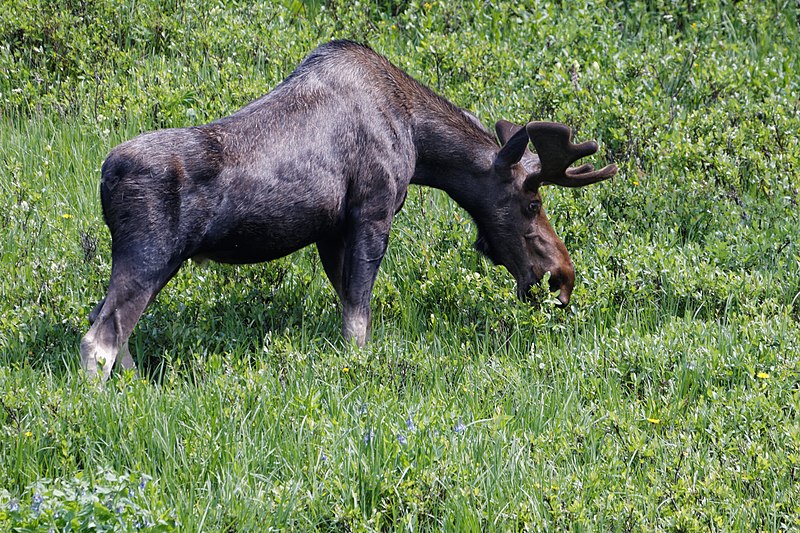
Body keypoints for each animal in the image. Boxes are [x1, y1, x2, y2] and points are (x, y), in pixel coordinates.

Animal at [81, 39, 616, 378]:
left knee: (116, 332)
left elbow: (346, 306)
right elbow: (359, 319)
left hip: (155, 262)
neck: (418, 140)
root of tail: (105, 176)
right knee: (99, 339)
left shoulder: (330, 230)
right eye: (532, 201)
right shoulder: (372, 211)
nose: (562, 278)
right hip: (148, 255)